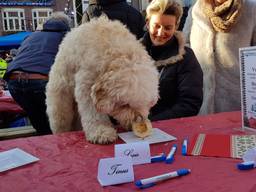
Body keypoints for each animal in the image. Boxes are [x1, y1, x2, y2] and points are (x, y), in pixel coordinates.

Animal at [45, 16, 158, 144]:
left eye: (145, 104)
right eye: (124, 105)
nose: (138, 120)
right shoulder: (86, 85)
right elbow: (93, 113)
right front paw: (101, 132)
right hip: (60, 102)